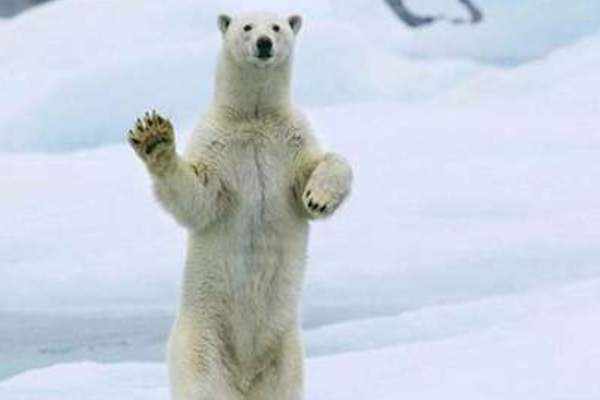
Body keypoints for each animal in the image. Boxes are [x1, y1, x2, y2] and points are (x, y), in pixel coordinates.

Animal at [126, 11, 352, 400]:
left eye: (277, 26)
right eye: (247, 26)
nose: (264, 43)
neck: (254, 116)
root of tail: (245, 378)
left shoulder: (290, 141)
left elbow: (324, 165)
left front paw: (318, 198)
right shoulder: (218, 146)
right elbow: (198, 197)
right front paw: (155, 137)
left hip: (286, 354)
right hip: (201, 342)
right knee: (202, 385)